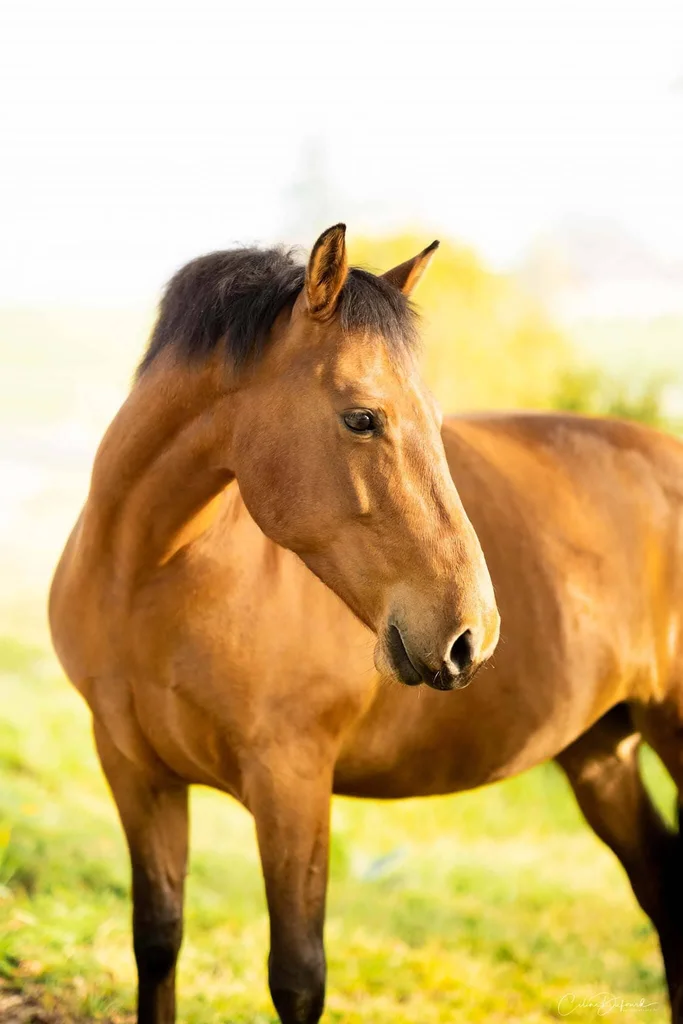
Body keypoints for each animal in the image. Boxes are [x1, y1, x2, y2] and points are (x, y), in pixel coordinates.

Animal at [50, 226, 683, 1024]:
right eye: (362, 417)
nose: (472, 634)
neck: (147, 583)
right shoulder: (134, 770)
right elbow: (157, 940)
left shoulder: (291, 782)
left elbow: (297, 976)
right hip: (600, 750)